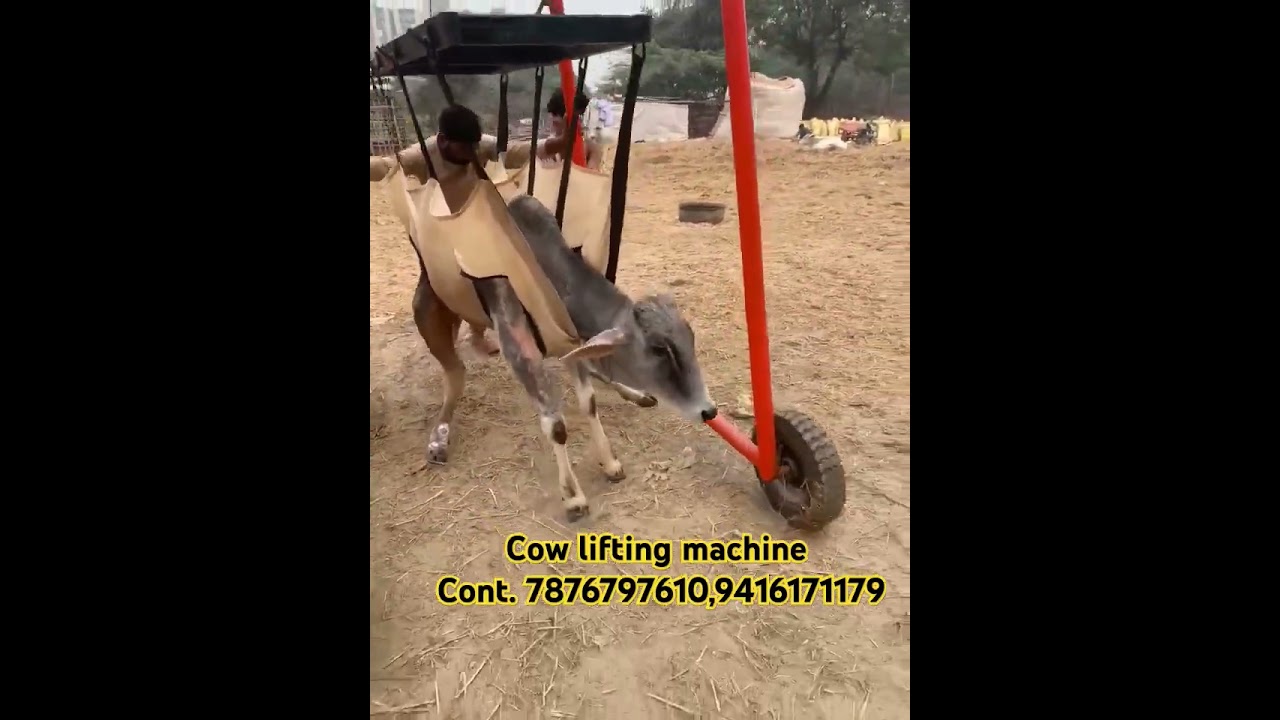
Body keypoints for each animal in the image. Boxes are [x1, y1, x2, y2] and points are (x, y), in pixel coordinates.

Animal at [412, 194, 717, 521]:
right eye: (660, 349)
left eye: (689, 338)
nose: (708, 411)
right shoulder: (520, 349)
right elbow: (556, 426)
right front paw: (574, 496)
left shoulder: (572, 345)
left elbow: (589, 402)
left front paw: (610, 462)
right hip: (428, 317)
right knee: (455, 374)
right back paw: (439, 437)